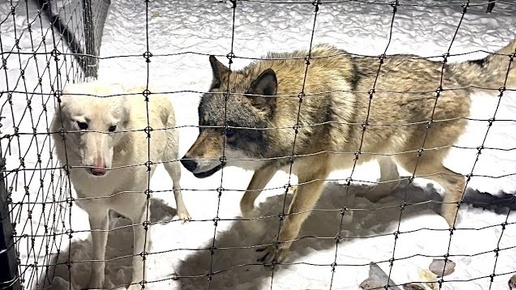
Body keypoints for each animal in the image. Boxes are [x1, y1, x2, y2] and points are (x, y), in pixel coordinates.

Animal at [51, 81, 189, 290]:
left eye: (112, 127)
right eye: (82, 124)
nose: (98, 170)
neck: (106, 183)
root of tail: (148, 87)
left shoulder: (140, 216)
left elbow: (138, 258)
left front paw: (136, 285)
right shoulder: (97, 216)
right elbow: (97, 259)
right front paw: (95, 285)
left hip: (171, 162)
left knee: (176, 185)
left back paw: (182, 213)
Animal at [180, 40, 516, 266]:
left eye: (228, 132)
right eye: (202, 125)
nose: (186, 162)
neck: (299, 113)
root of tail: (452, 71)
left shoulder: (314, 176)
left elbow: (291, 220)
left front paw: (277, 250)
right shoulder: (273, 163)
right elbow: (245, 201)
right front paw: (259, 225)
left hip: (413, 160)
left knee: (458, 180)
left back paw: (445, 226)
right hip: (383, 150)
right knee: (392, 181)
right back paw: (366, 200)